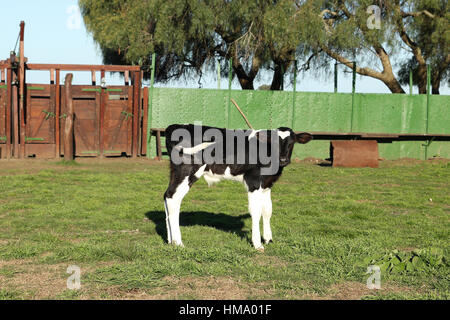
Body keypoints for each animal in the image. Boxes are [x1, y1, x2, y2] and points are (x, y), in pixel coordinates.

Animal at [163, 124, 312, 251]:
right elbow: (256, 211)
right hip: (187, 171)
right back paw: (178, 242)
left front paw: (268, 239)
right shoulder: (253, 182)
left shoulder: (267, 184)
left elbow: (267, 210)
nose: (283, 160)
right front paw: (257, 244)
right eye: (274, 142)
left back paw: (170, 241)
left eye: (292, 143)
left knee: (167, 195)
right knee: (173, 199)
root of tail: (174, 126)